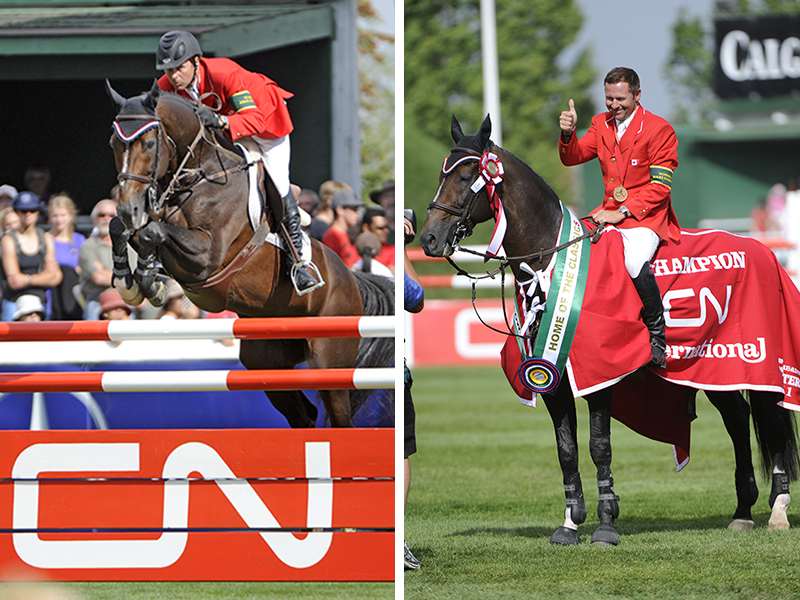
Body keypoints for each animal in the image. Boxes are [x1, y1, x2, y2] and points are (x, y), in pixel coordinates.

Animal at [105, 80, 394, 428]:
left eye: (148, 143)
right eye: (113, 143)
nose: (129, 208)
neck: (200, 174)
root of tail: (350, 279)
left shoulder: (208, 257)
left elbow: (152, 232)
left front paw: (149, 280)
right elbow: (123, 229)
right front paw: (131, 281)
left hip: (329, 361)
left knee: (339, 418)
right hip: (266, 362)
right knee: (304, 415)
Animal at [419, 114, 800, 545]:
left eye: (467, 176)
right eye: (442, 174)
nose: (429, 238)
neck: (552, 262)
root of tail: (764, 250)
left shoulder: (598, 375)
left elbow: (599, 446)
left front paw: (605, 523)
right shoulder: (551, 378)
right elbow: (566, 449)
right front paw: (570, 522)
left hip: (759, 362)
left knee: (773, 424)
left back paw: (779, 509)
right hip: (715, 369)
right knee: (737, 420)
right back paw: (742, 511)